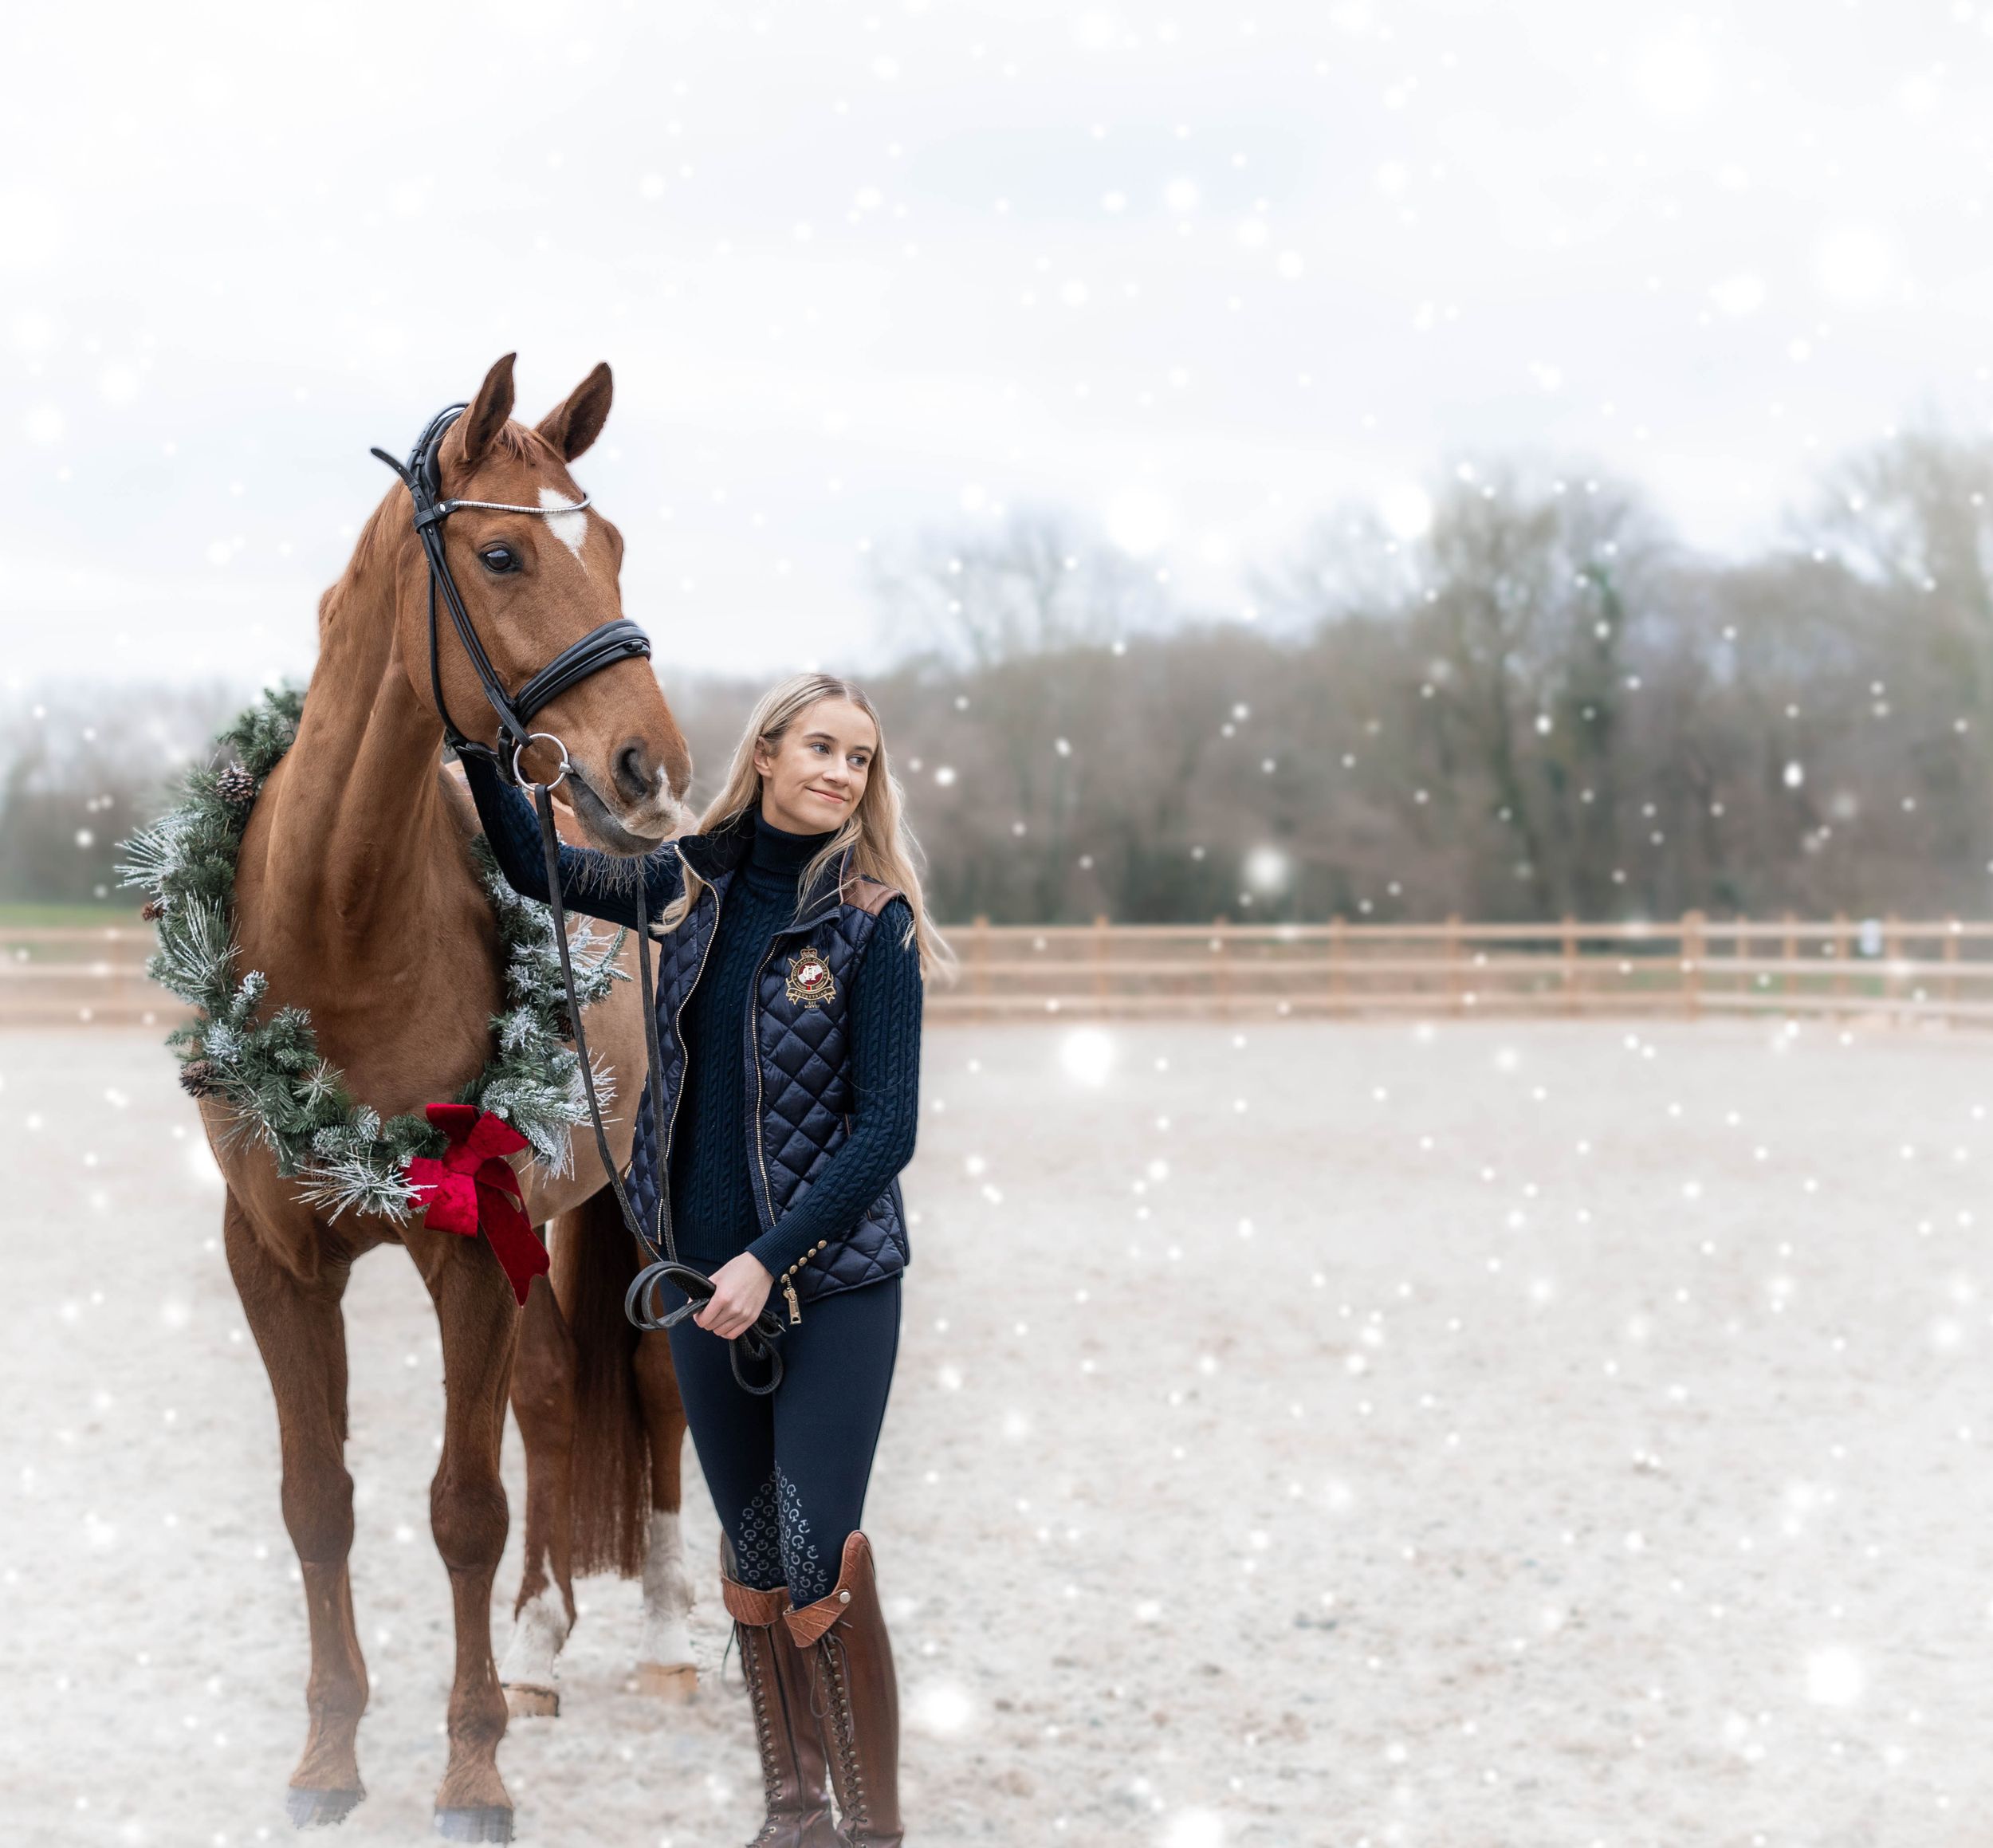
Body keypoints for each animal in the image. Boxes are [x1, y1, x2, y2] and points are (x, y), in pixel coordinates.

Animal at [209, 354, 695, 1841]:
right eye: (501, 552)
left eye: (614, 544)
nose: (654, 771)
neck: (339, 929)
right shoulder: (274, 1255)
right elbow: (320, 1500)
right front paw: (326, 1760)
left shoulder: (469, 1249)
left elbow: (463, 1506)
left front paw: (471, 1775)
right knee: (549, 1400)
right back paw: (538, 1651)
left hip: (642, 1210)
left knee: (655, 1384)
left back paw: (667, 1637)